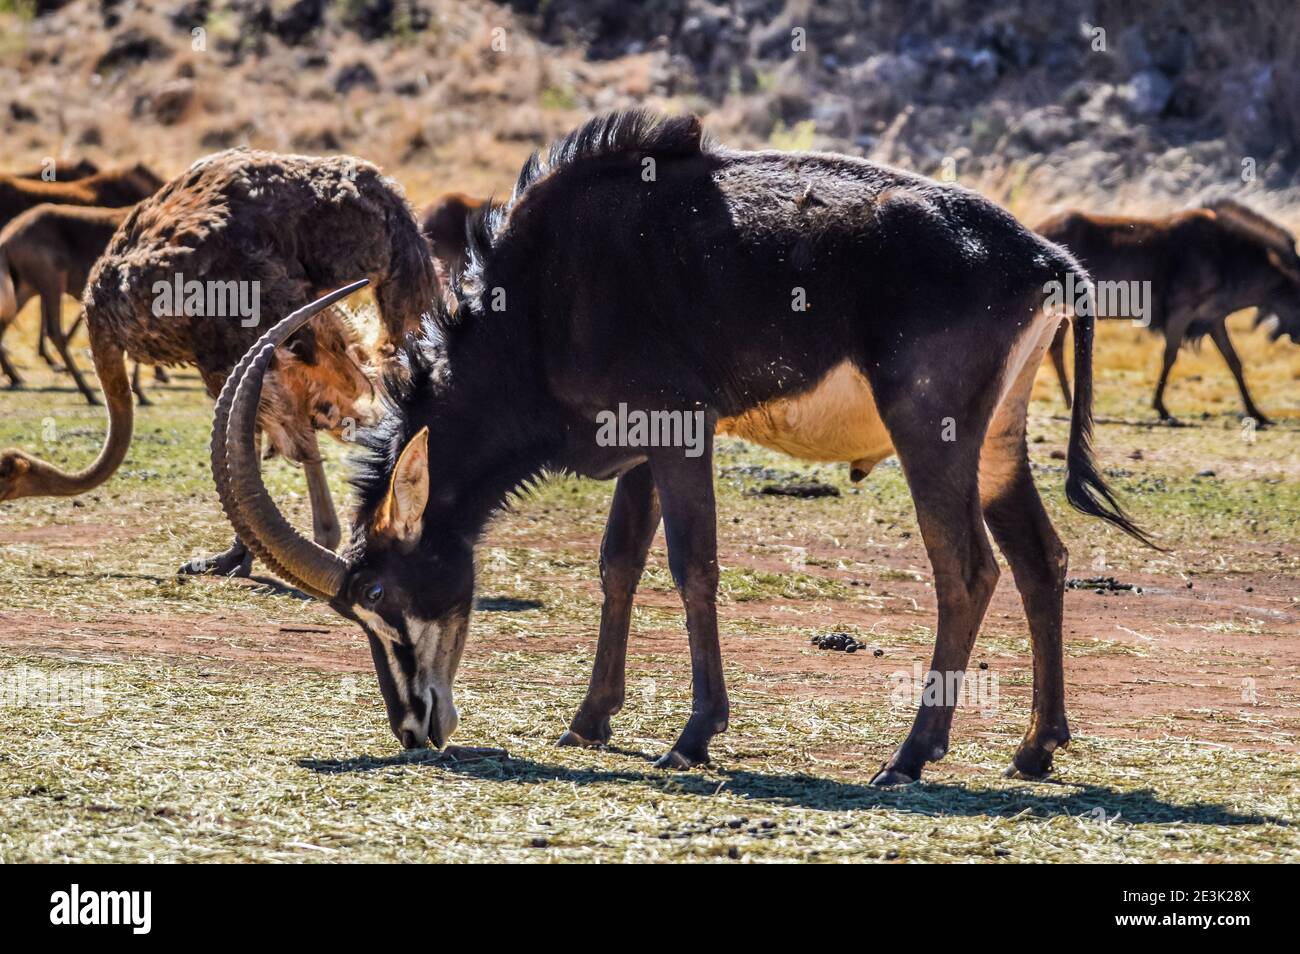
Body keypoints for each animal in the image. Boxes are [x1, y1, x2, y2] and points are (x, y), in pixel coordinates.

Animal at [218, 111, 1154, 790]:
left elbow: (691, 566)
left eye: (378, 594)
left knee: (968, 570)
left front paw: (692, 736)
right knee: (1041, 559)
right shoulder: (637, 447)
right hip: (997, 442)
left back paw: (909, 756)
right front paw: (589, 720)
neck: (545, 292)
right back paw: (1035, 748)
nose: (415, 729)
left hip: (934, 436)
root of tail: (1045, 257)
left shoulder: (679, 432)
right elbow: (618, 563)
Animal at [1040, 197, 1300, 426]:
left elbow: (1233, 360)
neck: (1226, 257)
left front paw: (1257, 413)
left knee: (1055, 347)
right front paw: (1161, 408)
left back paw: (1069, 401)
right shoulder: (1182, 312)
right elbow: (1170, 356)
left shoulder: (1213, 319)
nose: (1296, 336)